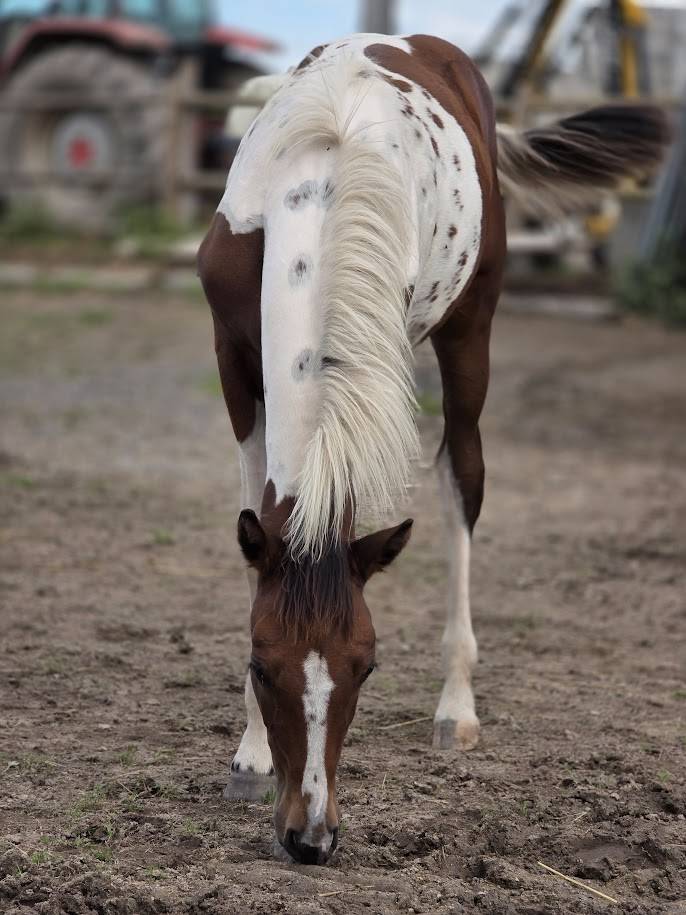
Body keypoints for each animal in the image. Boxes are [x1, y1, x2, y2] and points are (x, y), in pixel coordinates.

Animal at [198, 33, 669, 865]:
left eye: (367, 665)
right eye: (260, 662)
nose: (311, 836)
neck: (317, 188)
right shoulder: (230, 354)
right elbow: (255, 522)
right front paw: (249, 752)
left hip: (469, 334)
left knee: (462, 480)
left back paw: (457, 704)